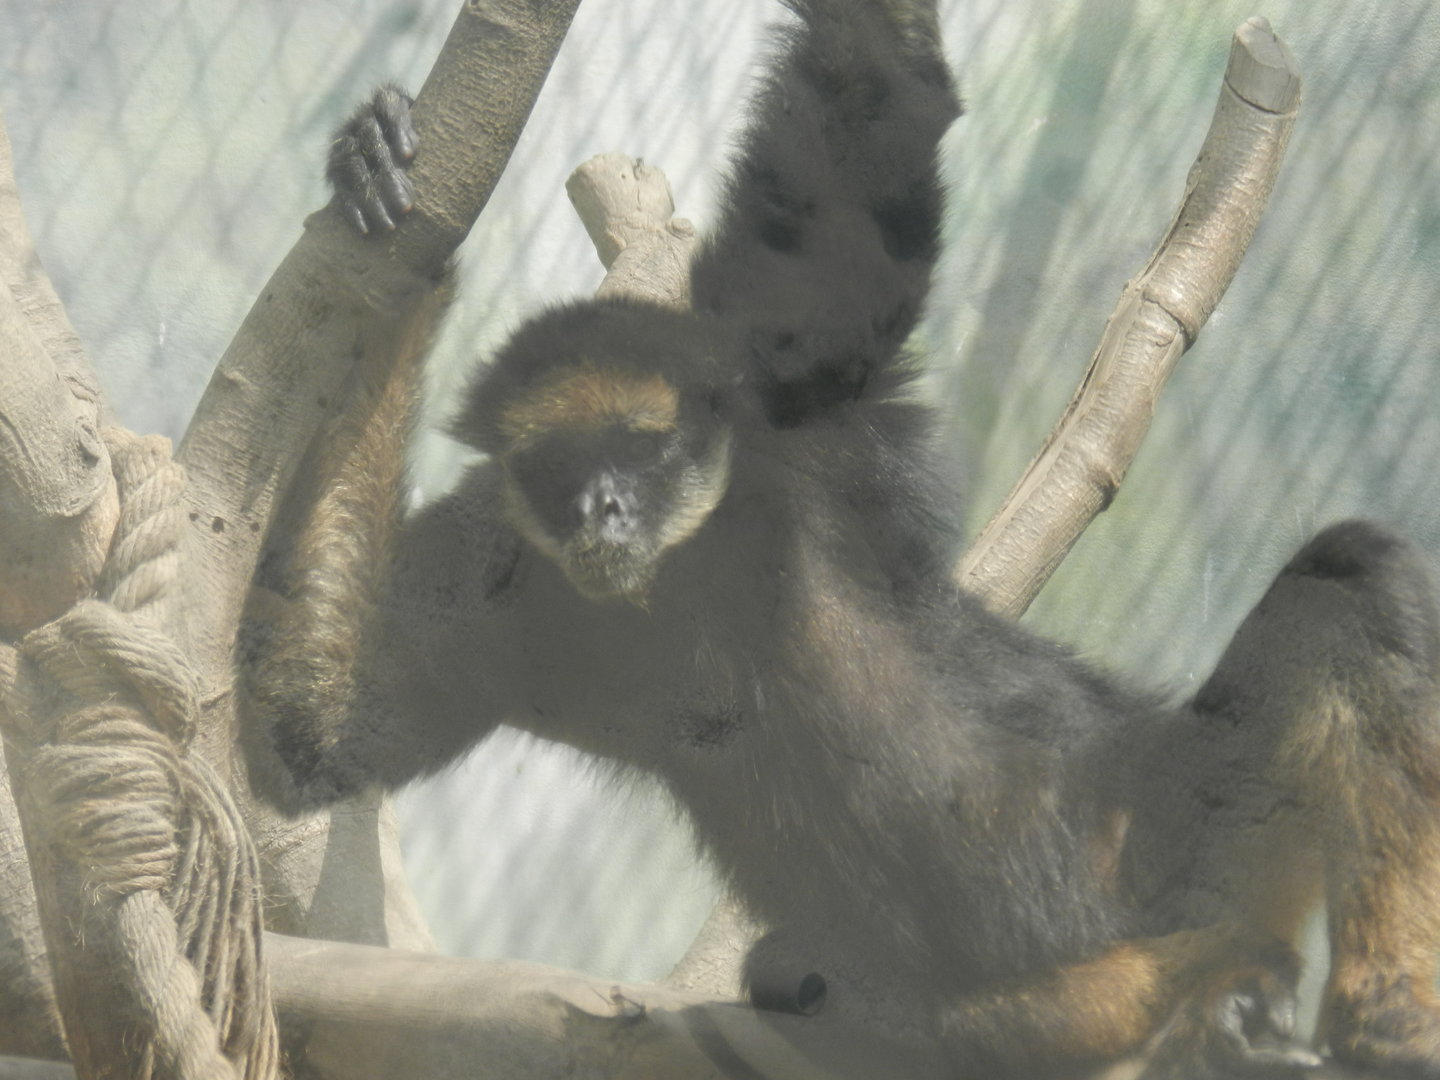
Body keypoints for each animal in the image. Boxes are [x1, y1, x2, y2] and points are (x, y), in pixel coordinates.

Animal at [246, 1, 1440, 1076]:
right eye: (560, 472)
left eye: (639, 449)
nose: (603, 511)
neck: (688, 578)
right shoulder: (512, 565)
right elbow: (317, 730)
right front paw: (387, 198)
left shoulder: (799, 416)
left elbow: (876, 91)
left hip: (1165, 830)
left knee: (1352, 578)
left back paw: (1371, 1028)